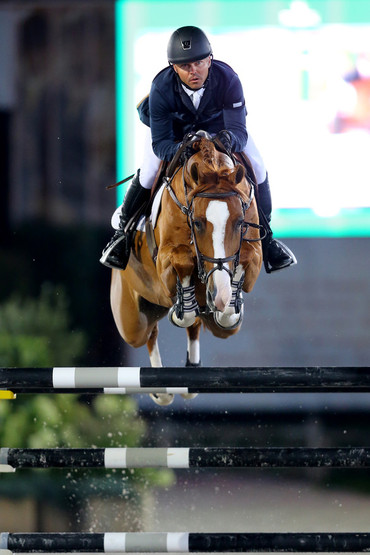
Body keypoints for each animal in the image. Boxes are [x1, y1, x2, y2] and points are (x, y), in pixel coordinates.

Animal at [110, 135, 264, 404]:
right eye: (198, 223)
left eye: (239, 222)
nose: (217, 294)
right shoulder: (165, 260)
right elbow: (183, 262)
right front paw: (183, 310)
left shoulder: (253, 253)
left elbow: (243, 264)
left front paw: (229, 301)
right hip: (131, 322)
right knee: (150, 333)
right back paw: (160, 390)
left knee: (196, 327)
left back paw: (191, 371)